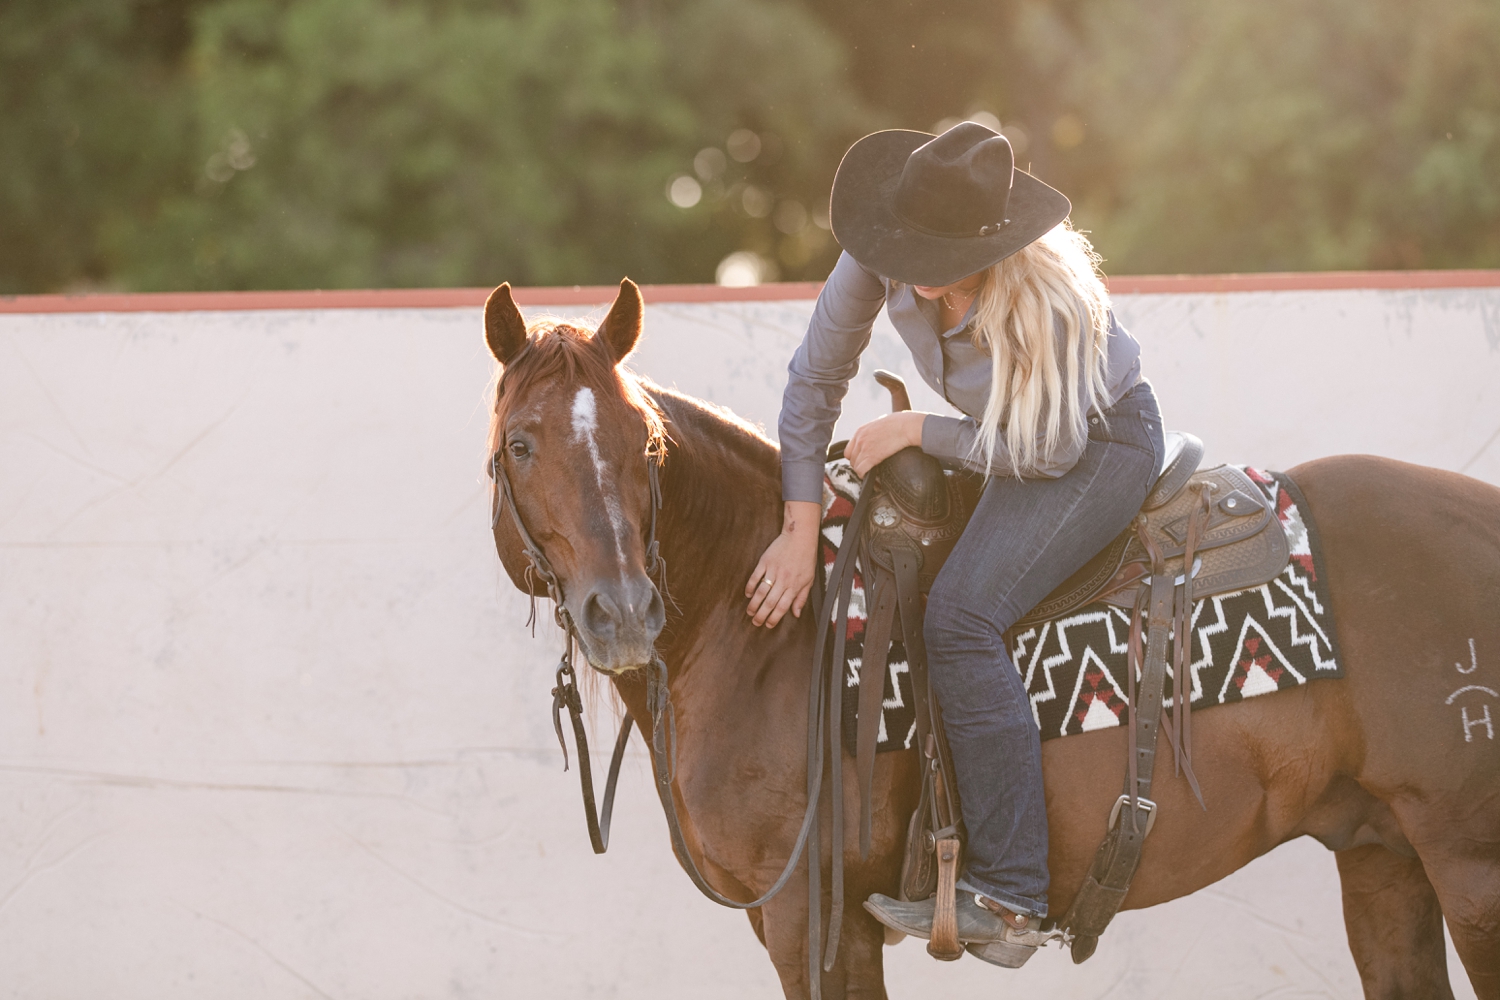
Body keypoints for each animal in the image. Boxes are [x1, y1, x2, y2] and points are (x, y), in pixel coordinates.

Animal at [483, 275, 1500, 1000]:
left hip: (1470, 869)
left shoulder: (814, 919)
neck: (761, 632)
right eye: (521, 445)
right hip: (1383, 861)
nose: (622, 611)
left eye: (644, 444)